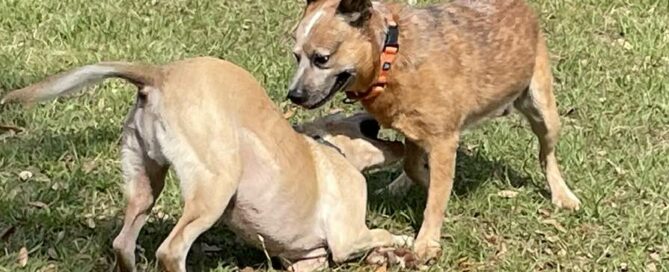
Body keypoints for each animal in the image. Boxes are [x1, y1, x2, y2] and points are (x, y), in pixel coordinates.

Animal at [1, 56, 412, 270]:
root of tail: (161, 75)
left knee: (123, 242)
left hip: (145, 184)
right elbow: (382, 234)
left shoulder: (307, 262)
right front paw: (403, 242)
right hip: (215, 187)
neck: (327, 147)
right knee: (171, 250)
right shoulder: (348, 236)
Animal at [286, 0, 580, 262]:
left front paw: (427, 241)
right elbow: (416, 169)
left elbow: (436, 194)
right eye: (296, 56)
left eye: (322, 59)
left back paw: (563, 194)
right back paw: (399, 184)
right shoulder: (414, 131)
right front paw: (429, 187)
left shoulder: (443, 140)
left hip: (543, 110)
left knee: (546, 155)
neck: (390, 57)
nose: (294, 95)